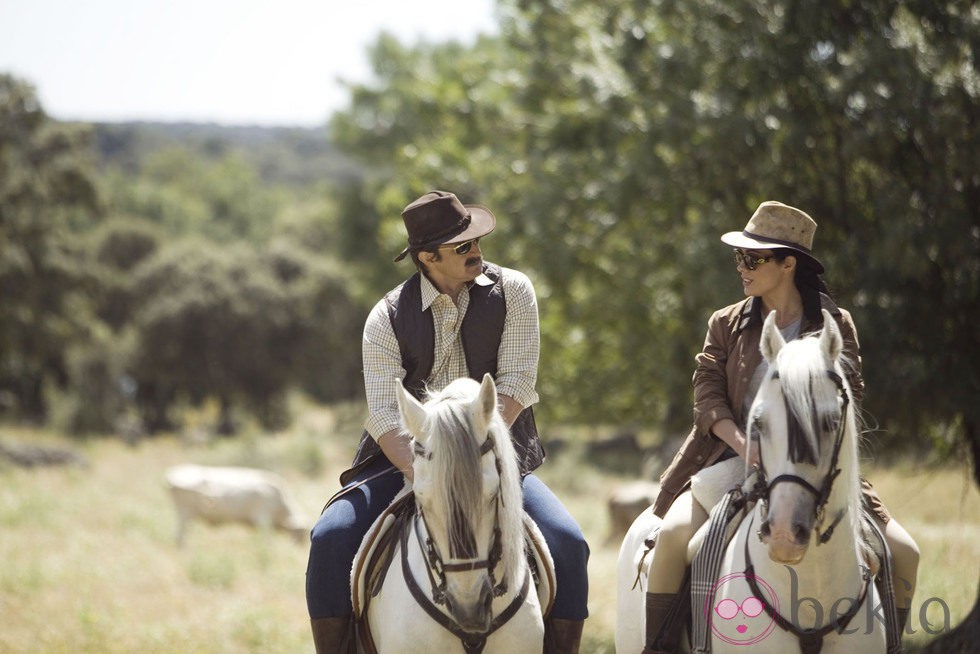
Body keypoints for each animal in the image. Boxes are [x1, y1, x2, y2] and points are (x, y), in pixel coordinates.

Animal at [165, 464, 308, 552]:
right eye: (299, 533)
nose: (299, 547)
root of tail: (171, 476)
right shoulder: (262, 518)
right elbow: (267, 540)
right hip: (185, 512)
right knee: (180, 536)